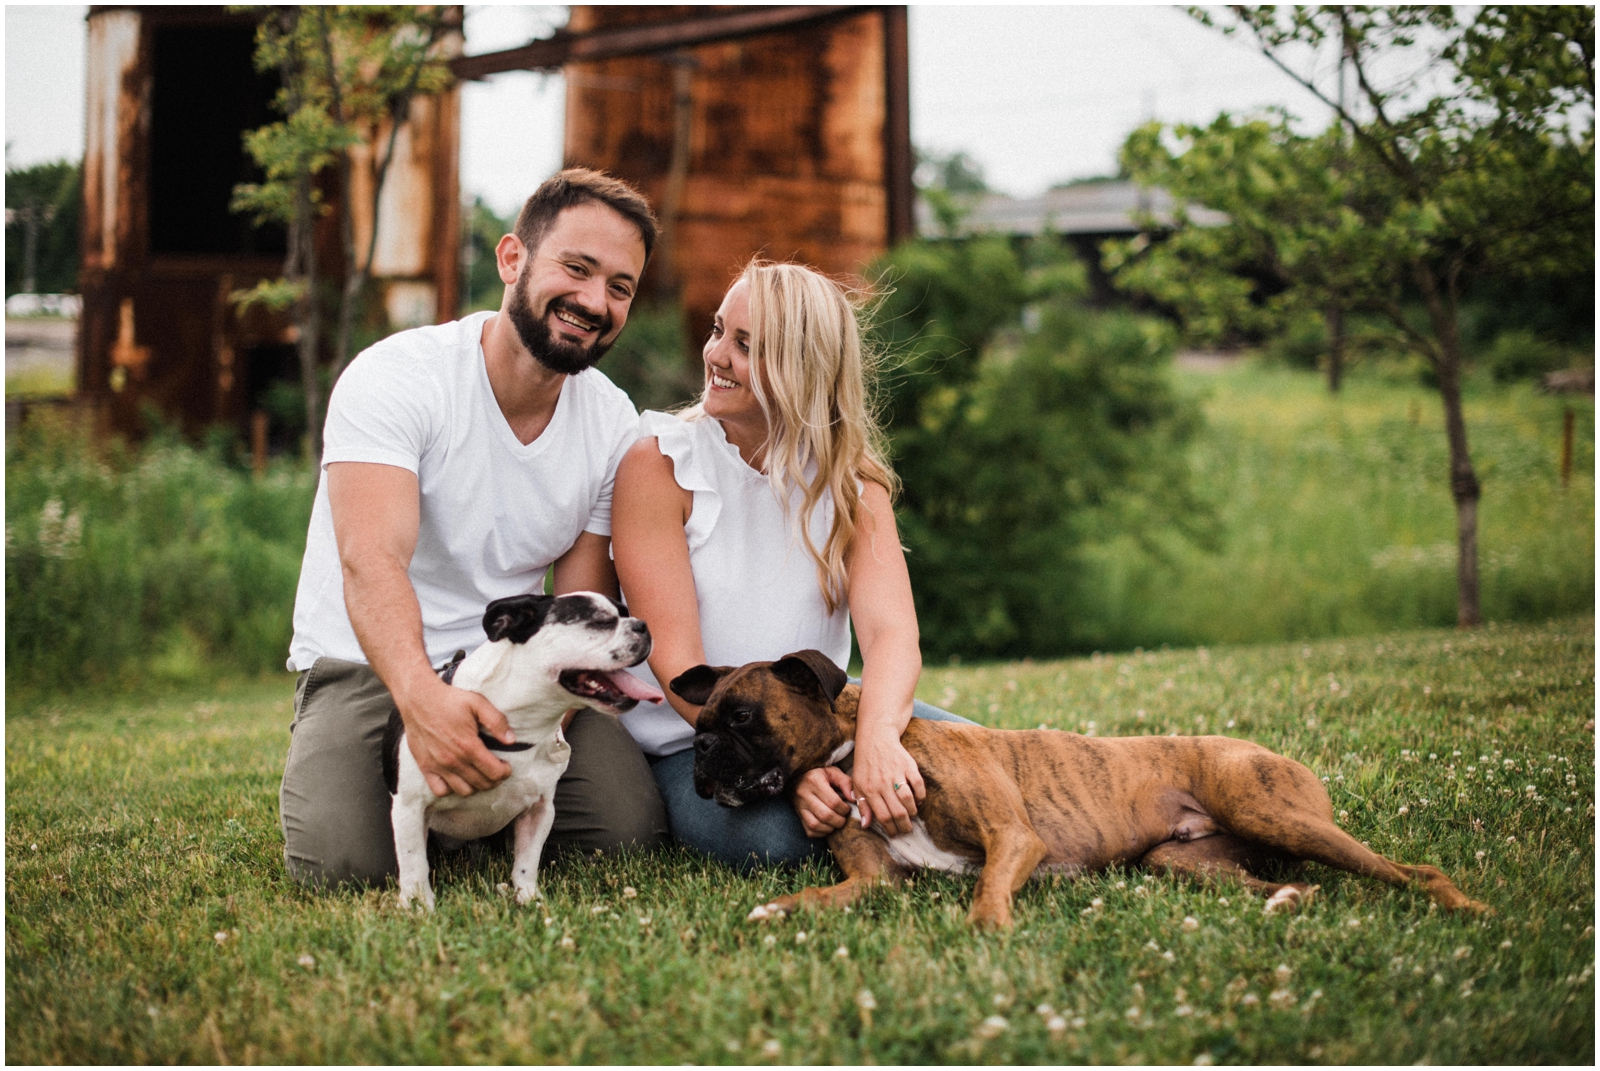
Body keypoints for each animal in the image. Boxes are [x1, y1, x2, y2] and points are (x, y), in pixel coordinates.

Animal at [384, 592, 659, 909]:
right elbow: (414, 864)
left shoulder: (540, 809)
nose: (643, 625)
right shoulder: (409, 807)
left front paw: (528, 898)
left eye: (626, 612)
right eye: (601, 621)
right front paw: (418, 907)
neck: (520, 727)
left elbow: (528, 860)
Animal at [668, 646, 1491, 922]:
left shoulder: (1013, 838)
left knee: (1413, 868)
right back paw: (1287, 900)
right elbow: (822, 893)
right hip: (1180, 860)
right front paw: (778, 908)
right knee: (1284, 884)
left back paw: (1466, 908)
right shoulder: (873, 882)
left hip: (1268, 809)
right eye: (700, 720)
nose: (701, 749)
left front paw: (989, 930)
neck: (856, 750)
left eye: (742, 718)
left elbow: (984, 894)